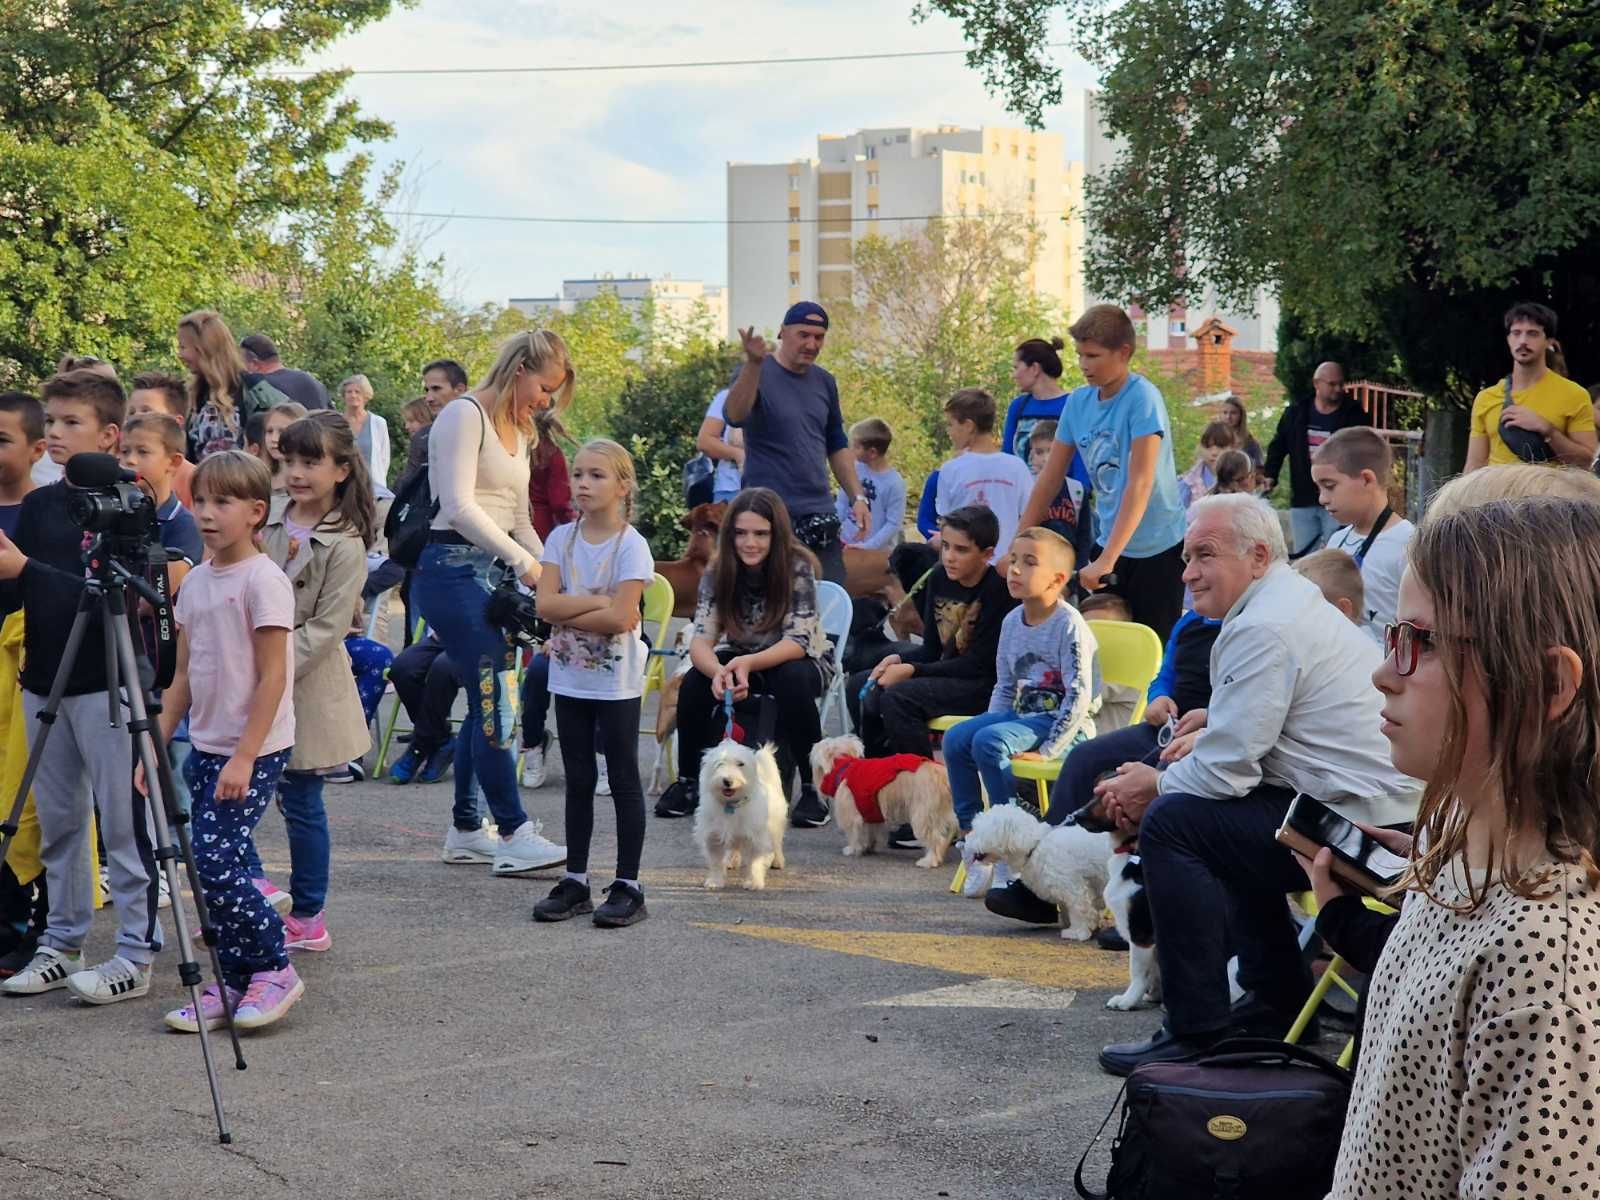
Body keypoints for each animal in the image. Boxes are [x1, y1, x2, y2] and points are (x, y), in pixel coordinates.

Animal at [694, 739, 787, 889]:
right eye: (720, 763)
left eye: (741, 764)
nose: (727, 781)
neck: (731, 804)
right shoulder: (714, 836)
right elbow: (716, 862)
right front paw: (715, 881)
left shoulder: (755, 837)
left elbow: (754, 862)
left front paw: (753, 882)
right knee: (735, 847)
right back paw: (732, 860)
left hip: (775, 825)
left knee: (776, 843)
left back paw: (777, 861)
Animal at [806, 739, 953, 870]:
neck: (844, 769)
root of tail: (943, 775)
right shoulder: (871, 812)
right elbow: (872, 831)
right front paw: (869, 846)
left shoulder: (852, 816)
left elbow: (853, 834)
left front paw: (853, 849)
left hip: (923, 816)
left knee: (936, 839)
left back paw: (929, 861)